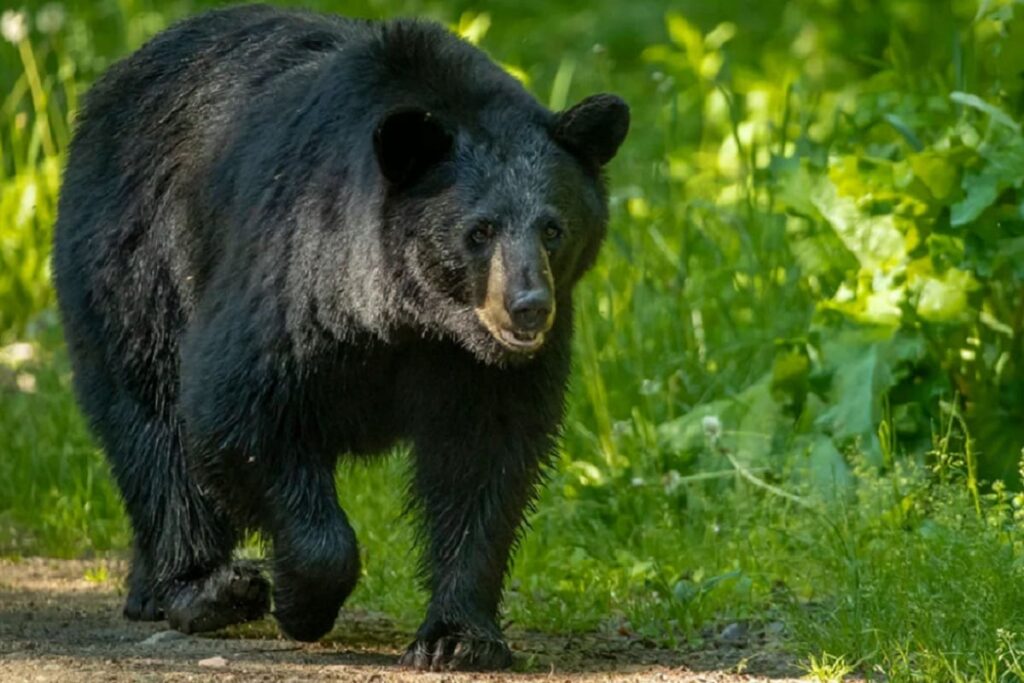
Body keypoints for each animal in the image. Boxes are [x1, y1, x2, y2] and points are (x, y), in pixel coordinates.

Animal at [52, 4, 628, 671]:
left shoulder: (478, 367)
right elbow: (238, 408)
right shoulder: (296, 276)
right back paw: (205, 589)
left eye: (554, 229)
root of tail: (114, 80)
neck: (409, 315)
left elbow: (485, 458)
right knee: (153, 422)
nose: (529, 308)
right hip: (133, 262)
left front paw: (458, 637)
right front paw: (301, 602)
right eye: (479, 231)